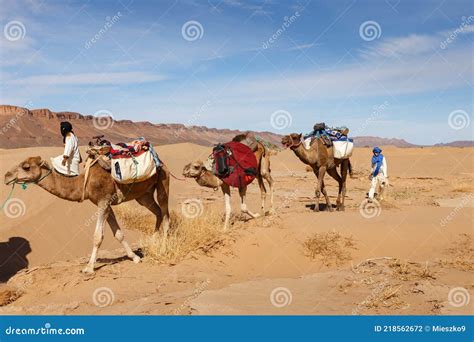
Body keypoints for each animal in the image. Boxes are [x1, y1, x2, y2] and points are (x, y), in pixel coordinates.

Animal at [3, 156, 170, 274]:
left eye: (26, 166)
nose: (6, 176)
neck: (84, 182)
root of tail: (161, 163)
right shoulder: (106, 204)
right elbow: (118, 234)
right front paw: (135, 257)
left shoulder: (103, 201)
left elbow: (97, 236)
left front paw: (88, 268)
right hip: (143, 195)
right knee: (157, 212)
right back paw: (153, 241)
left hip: (163, 181)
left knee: (165, 214)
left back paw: (163, 248)